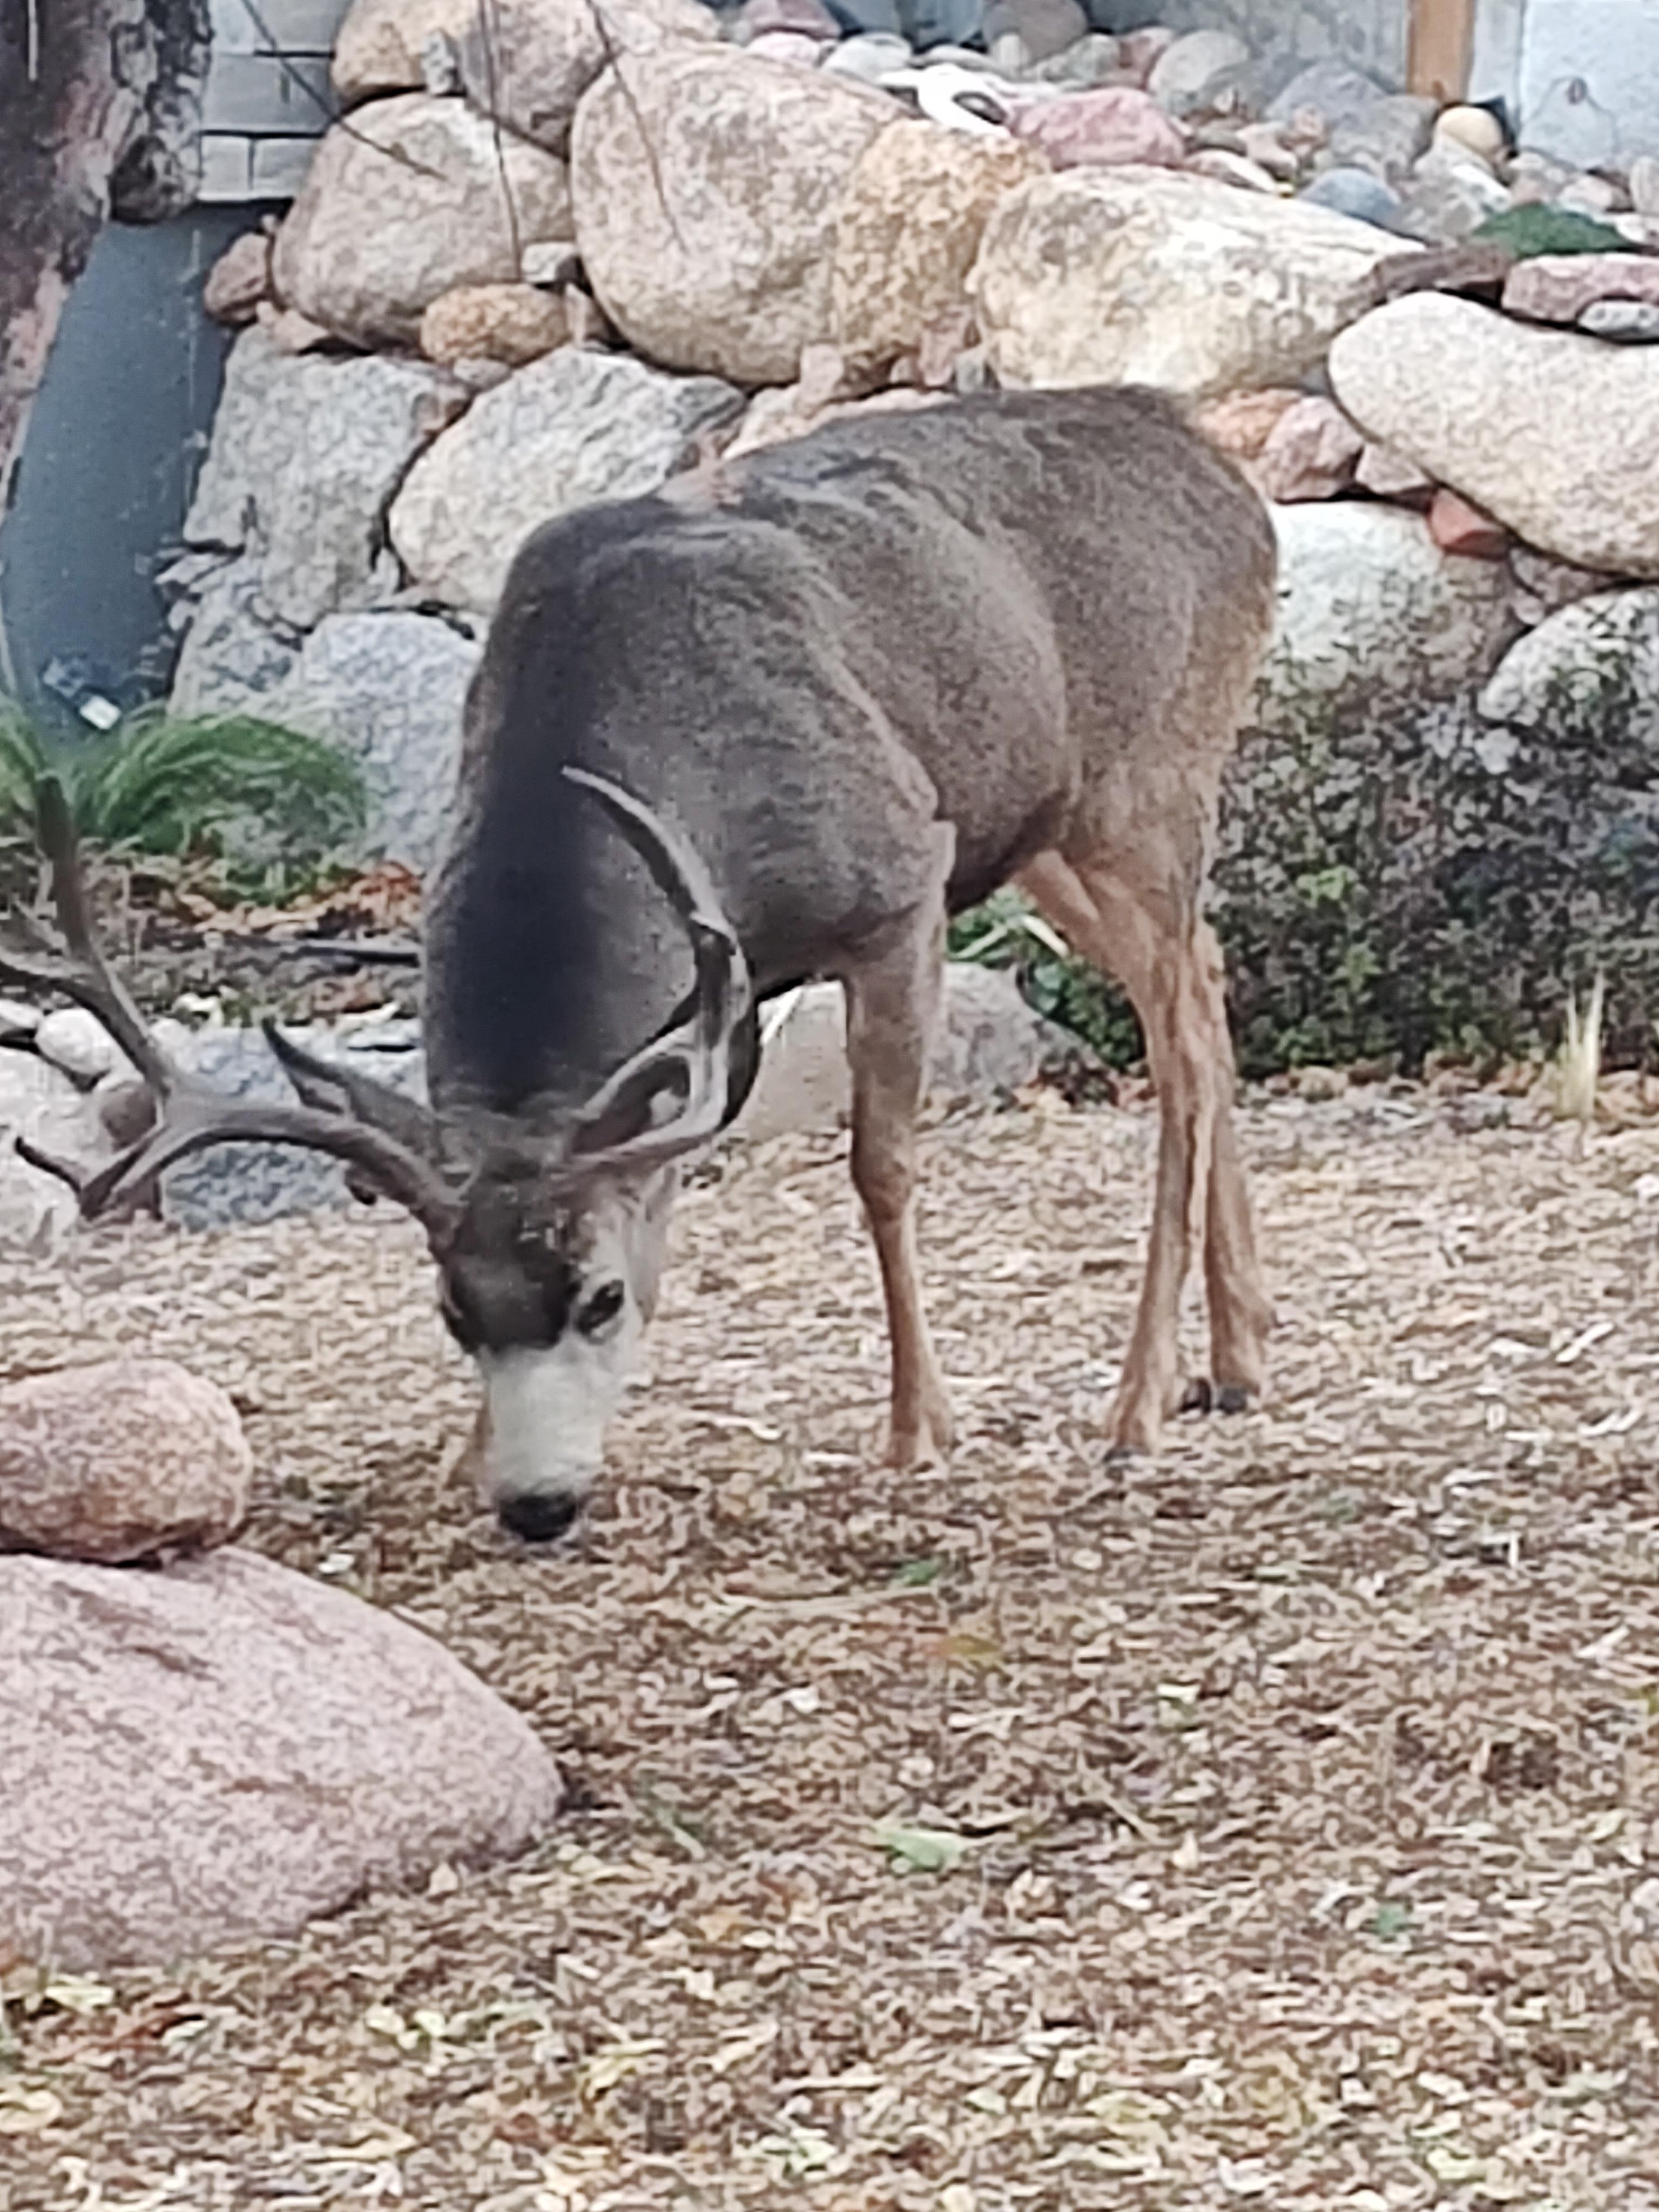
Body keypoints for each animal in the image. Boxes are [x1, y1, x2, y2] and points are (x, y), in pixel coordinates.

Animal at [0, 386, 1277, 1544]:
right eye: (454, 1311)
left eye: (597, 1298)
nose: (537, 1505)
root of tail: (1226, 477)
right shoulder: (718, 998)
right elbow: (662, 1184)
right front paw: (464, 1455)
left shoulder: (897, 882)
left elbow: (881, 1167)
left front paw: (919, 1426)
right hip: (1050, 833)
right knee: (1205, 984)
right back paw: (1238, 1350)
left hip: (1148, 776)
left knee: (1178, 1033)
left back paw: (1139, 1398)